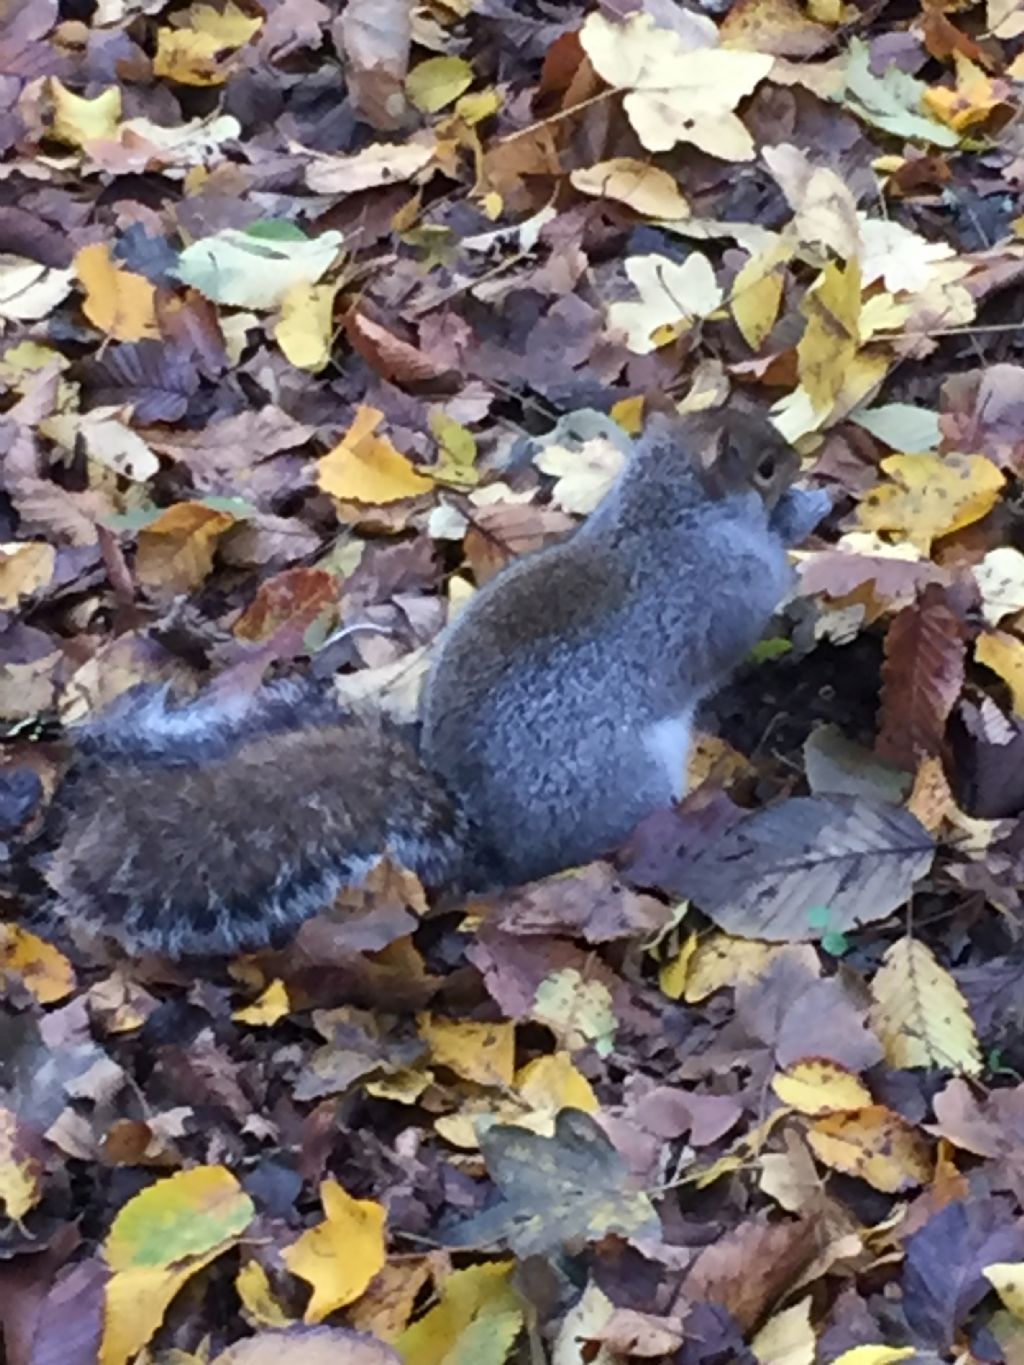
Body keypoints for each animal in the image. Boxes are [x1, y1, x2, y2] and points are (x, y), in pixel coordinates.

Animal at [2, 409, 835, 955]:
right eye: (764, 465)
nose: (800, 465)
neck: (666, 512)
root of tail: (495, 848)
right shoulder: (716, 590)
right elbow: (746, 618)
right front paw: (802, 521)